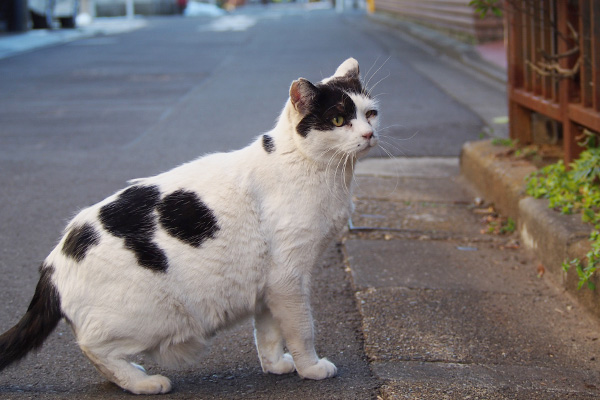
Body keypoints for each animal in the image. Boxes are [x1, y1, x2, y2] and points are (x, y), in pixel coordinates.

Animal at [0, 57, 380, 396]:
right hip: (155, 315)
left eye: (370, 113)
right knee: (93, 347)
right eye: (338, 119)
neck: (321, 170)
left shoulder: (269, 286)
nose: (369, 134)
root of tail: (53, 263)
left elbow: (269, 333)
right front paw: (311, 368)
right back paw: (144, 383)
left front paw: (276, 366)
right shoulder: (289, 278)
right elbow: (302, 329)